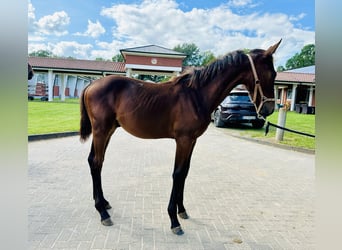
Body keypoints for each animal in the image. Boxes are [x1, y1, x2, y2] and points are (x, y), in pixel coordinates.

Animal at [79, 39, 280, 234]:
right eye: (272, 74)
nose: (268, 109)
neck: (196, 94)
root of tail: (91, 85)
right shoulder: (183, 140)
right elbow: (177, 173)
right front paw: (173, 220)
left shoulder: (192, 140)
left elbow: (185, 172)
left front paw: (181, 210)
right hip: (101, 130)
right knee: (96, 162)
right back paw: (102, 212)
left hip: (108, 130)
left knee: (93, 160)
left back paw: (103, 203)